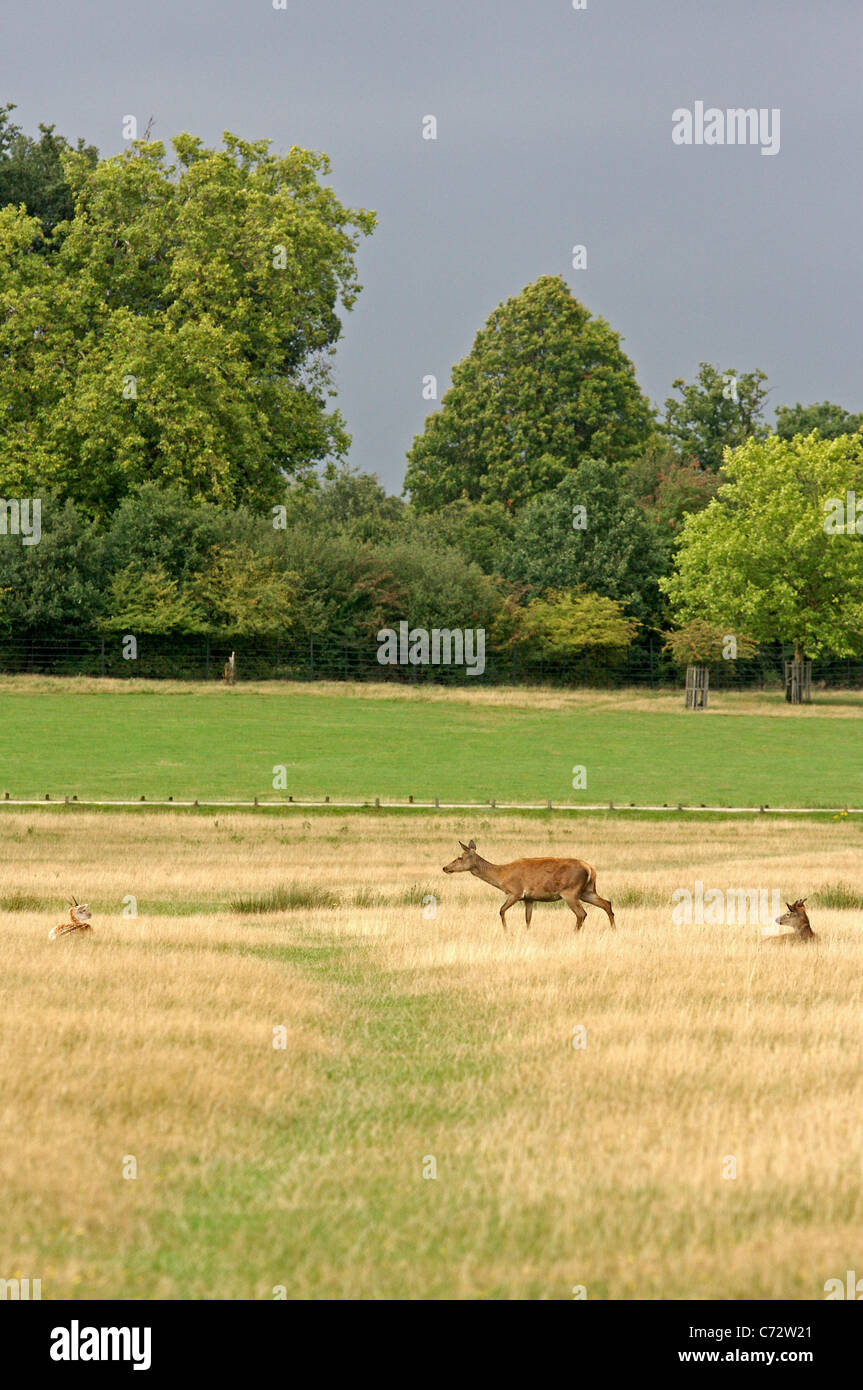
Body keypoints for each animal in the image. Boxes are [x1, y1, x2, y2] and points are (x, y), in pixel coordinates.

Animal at [442, 839, 615, 932]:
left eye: (459, 857)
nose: (445, 868)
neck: (501, 876)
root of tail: (590, 869)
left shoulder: (516, 892)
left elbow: (501, 910)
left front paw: (506, 930)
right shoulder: (529, 898)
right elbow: (528, 919)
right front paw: (527, 932)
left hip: (570, 892)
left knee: (582, 913)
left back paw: (574, 933)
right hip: (587, 891)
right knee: (607, 903)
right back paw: (614, 929)